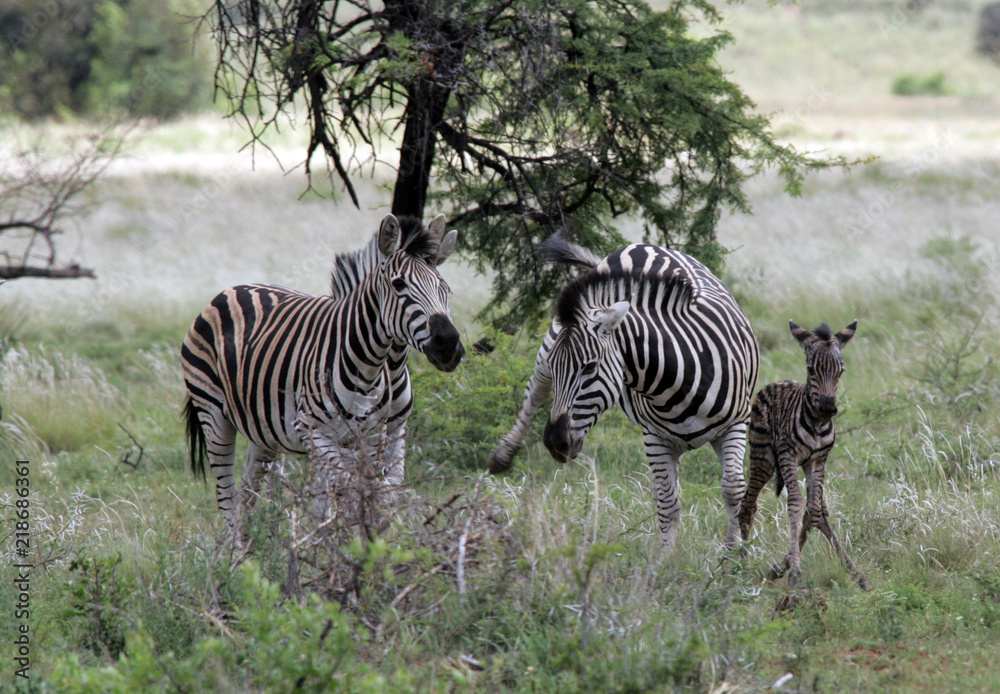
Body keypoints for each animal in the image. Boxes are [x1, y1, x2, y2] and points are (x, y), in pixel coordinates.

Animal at [182, 213, 465, 532]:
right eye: (399, 284)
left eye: (445, 288)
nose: (448, 344)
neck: (372, 368)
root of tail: (233, 288)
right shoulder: (313, 430)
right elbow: (345, 492)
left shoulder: (381, 434)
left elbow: (381, 493)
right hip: (213, 416)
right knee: (227, 498)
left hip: (262, 430)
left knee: (248, 489)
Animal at [490, 238, 759, 550]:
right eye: (559, 370)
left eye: (589, 367)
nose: (554, 443)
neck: (681, 380)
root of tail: (638, 245)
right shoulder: (654, 437)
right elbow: (667, 504)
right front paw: (664, 559)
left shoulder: (735, 424)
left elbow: (732, 490)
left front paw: (732, 553)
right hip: (548, 346)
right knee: (535, 390)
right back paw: (504, 454)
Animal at [737, 320, 867, 589]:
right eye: (810, 369)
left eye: (841, 371)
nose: (827, 408)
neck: (817, 424)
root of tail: (774, 383)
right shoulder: (788, 455)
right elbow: (796, 504)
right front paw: (794, 571)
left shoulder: (819, 460)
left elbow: (814, 512)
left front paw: (783, 566)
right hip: (764, 459)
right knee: (747, 505)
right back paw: (740, 566)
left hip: (800, 465)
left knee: (820, 511)